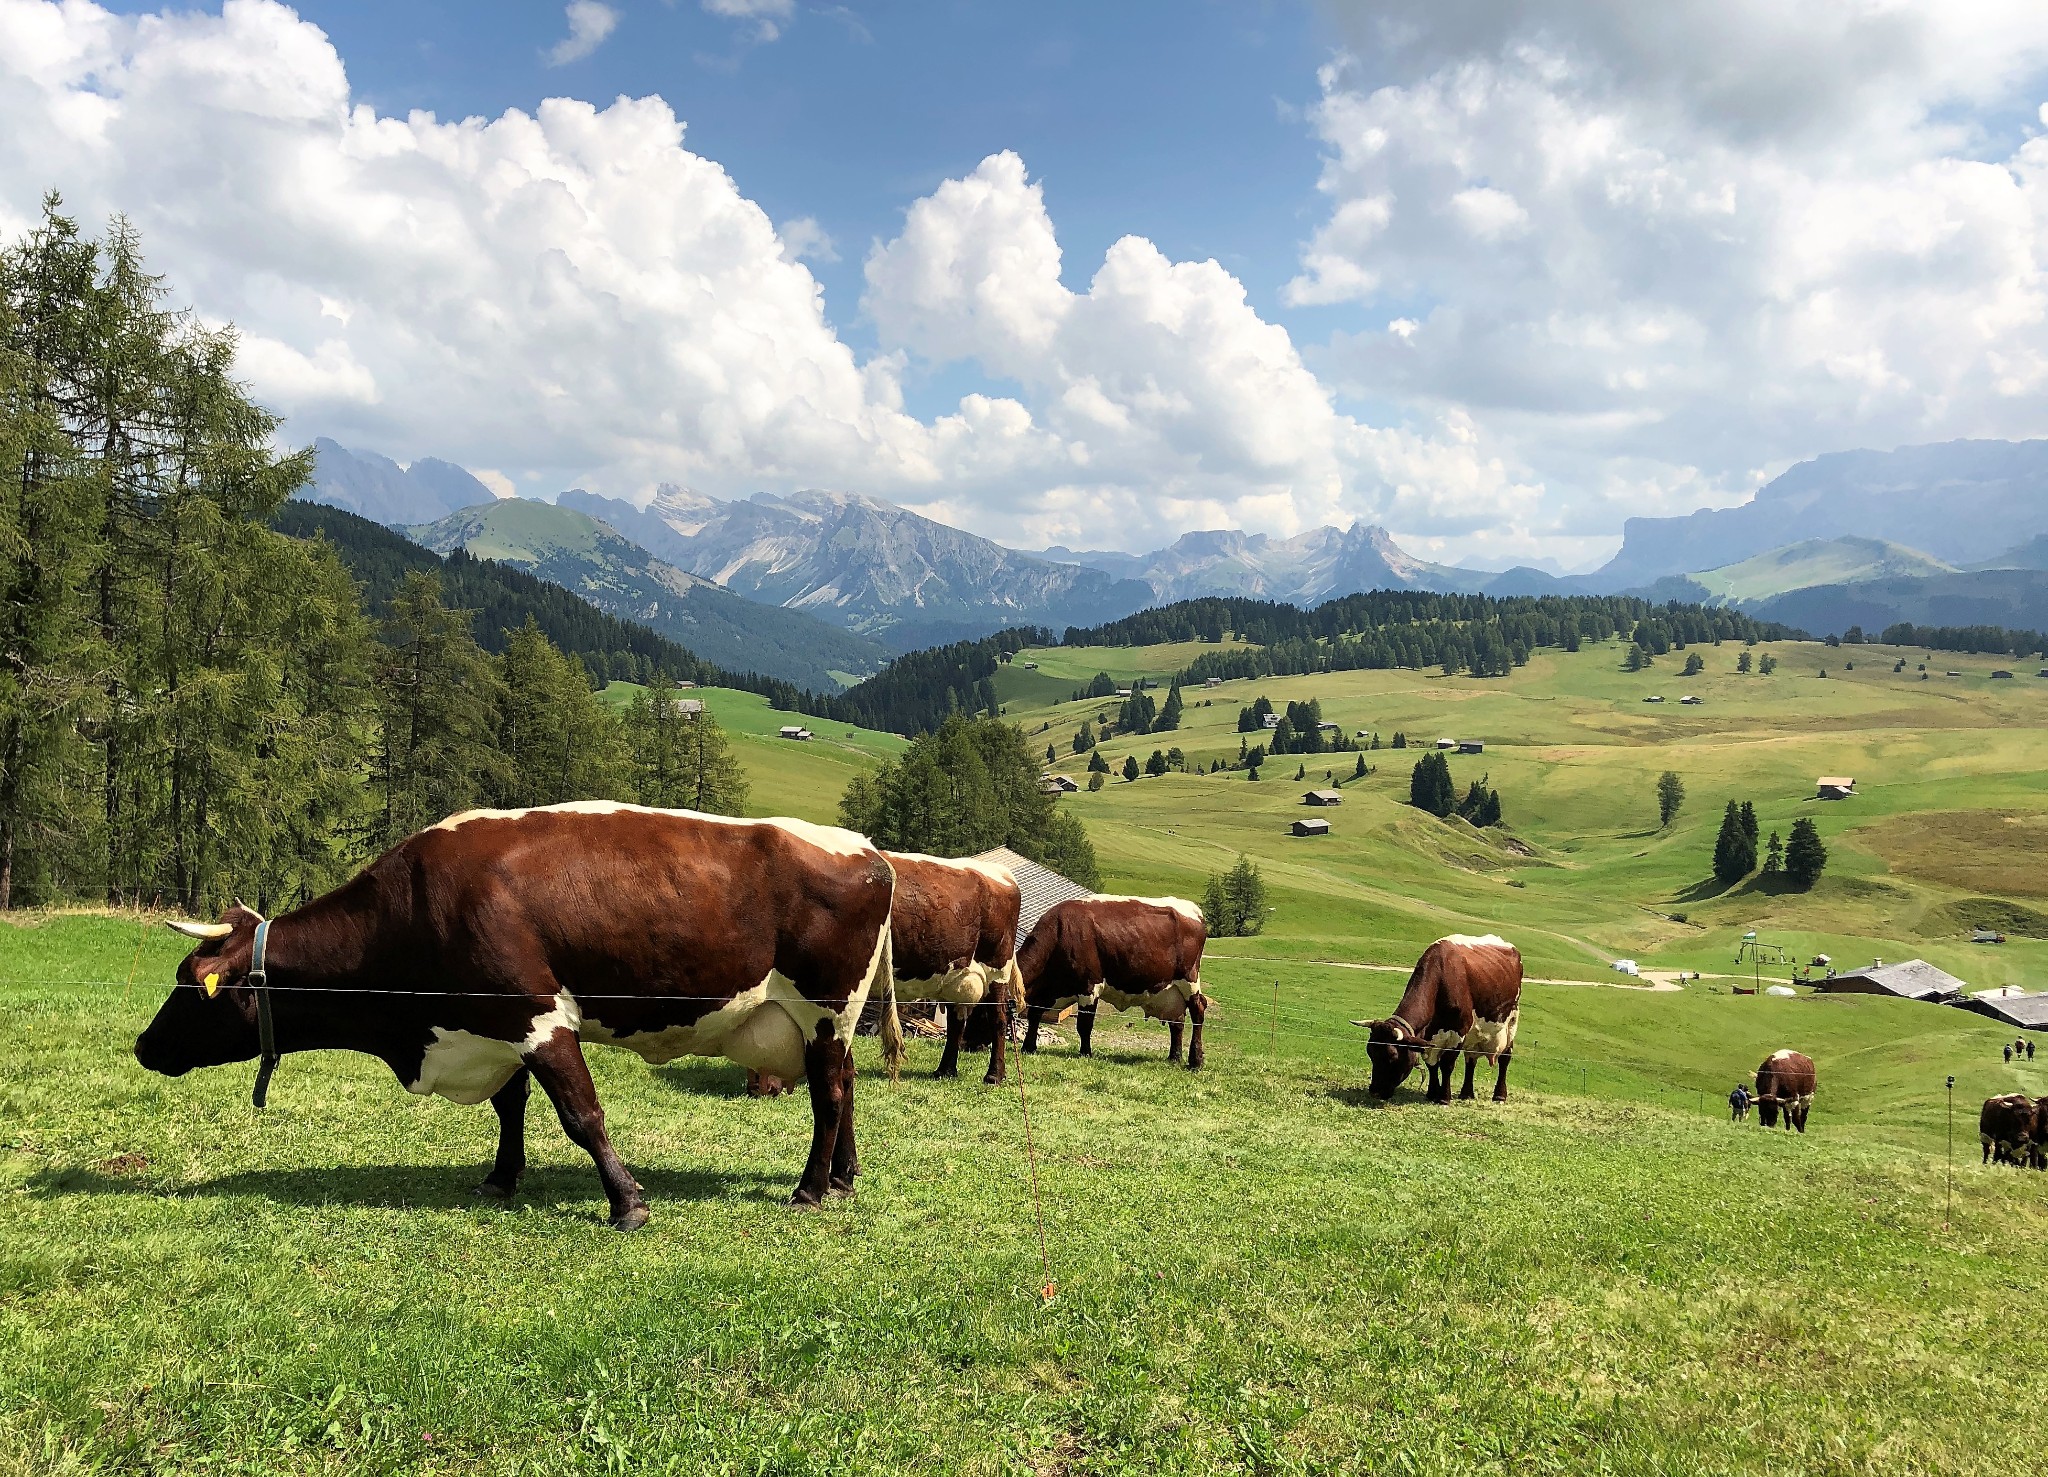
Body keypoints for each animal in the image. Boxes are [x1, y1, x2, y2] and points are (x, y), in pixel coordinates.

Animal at [130, 798, 897, 1229]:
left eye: (189, 985)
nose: (141, 1045)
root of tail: (865, 848)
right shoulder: (493, 1025)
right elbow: (511, 1106)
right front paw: (502, 1177)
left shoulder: (539, 1017)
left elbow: (582, 1114)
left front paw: (628, 1203)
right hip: (832, 1020)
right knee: (847, 1083)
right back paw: (843, 1175)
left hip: (826, 1006)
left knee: (829, 1094)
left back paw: (810, 1188)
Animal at [1019, 893, 1204, 1065]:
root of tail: (1194, 910)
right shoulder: (1045, 993)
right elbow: (1034, 1015)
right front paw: (1028, 1047)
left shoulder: (1090, 987)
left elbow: (1084, 1025)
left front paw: (1085, 1053)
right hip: (1172, 992)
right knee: (1177, 1021)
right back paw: (1174, 1057)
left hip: (1189, 980)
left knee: (1198, 1010)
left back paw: (1195, 1061)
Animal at [1359, 925, 1523, 1098]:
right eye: (1370, 1052)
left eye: (1392, 1056)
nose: (1375, 1091)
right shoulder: (1429, 1034)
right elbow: (1432, 1065)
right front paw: (1432, 1093)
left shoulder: (1459, 1031)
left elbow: (1446, 1064)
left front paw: (1444, 1097)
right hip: (1476, 1033)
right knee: (1471, 1058)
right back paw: (1466, 1094)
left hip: (1511, 1020)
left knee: (1505, 1057)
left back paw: (1499, 1095)